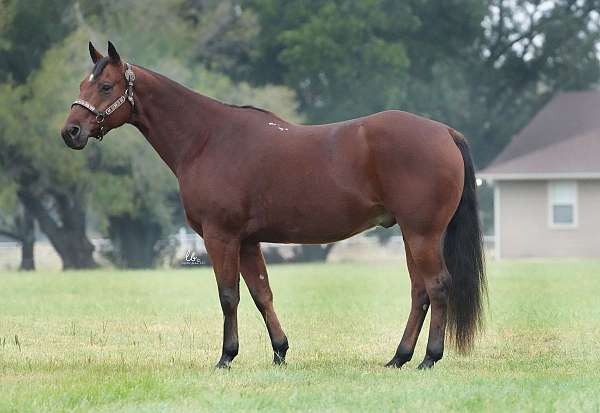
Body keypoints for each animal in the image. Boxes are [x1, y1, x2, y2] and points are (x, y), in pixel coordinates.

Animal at [61, 41, 486, 368]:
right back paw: (399, 357)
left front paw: (226, 357)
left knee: (437, 286)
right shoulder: (248, 241)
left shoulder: (221, 236)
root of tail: (444, 132)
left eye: (106, 86)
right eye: (84, 83)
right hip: (412, 235)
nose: (71, 132)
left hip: (422, 233)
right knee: (419, 292)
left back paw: (429, 358)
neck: (207, 139)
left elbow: (229, 295)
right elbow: (261, 294)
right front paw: (280, 352)